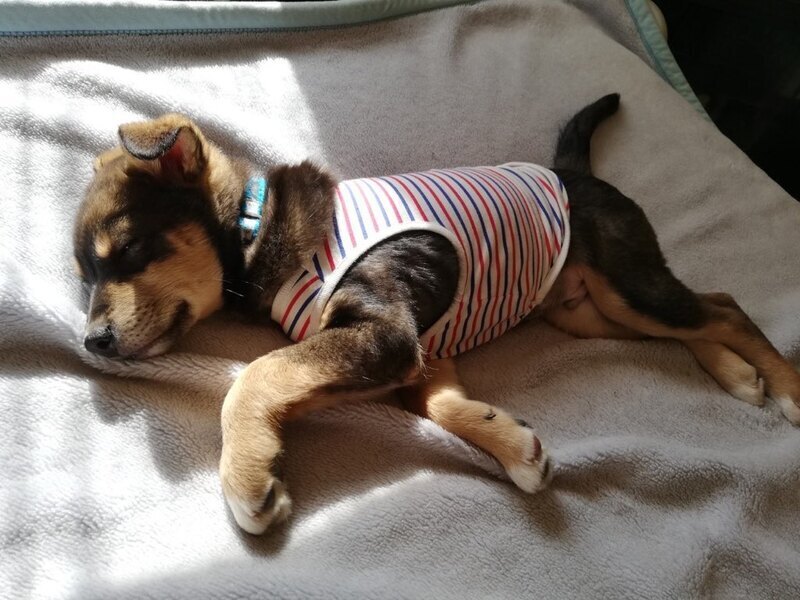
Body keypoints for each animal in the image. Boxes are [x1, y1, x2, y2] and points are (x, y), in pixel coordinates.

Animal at [73, 94, 800, 535]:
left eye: (130, 251)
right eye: (84, 275)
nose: (93, 342)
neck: (258, 227)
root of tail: (575, 174)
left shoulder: (385, 333)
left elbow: (257, 374)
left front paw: (248, 474)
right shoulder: (414, 354)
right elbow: (439, 406)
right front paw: (514, 445)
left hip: (626, 282)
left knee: (724, 307)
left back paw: (786, 387)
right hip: (587, 309)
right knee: (704, 313)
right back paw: (739, 374)